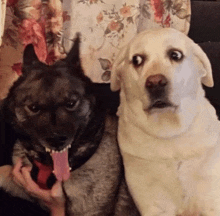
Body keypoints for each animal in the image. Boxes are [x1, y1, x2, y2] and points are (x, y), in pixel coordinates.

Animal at [111, 27, 220, 215]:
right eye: (137, 59)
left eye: (175, 55)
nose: (155, 82)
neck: (169, 134)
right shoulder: (155, 206)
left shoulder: (211, 200)